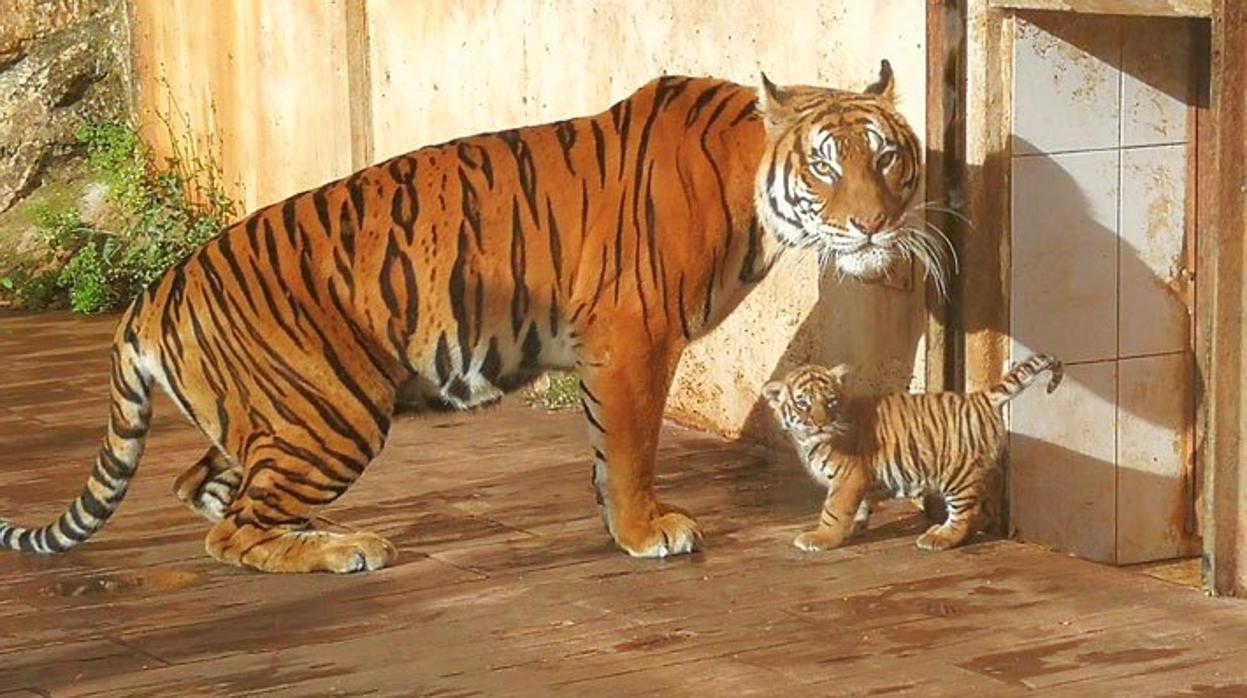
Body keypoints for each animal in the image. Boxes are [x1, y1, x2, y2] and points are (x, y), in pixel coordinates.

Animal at [0, 62, 937, 573]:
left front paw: (619, 522)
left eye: (888, 158)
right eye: (824, 167)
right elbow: (631, 447)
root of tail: (153, 293)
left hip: (270, 416)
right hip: (333, 411)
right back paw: (344, 547)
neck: (753, 188)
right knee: (232, 529)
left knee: (204, 488)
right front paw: (644, 531)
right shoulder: (633, 337)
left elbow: (607, 452)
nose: (871, 225)